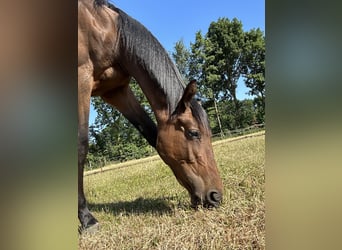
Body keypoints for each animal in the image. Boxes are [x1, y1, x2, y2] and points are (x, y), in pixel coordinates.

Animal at [78, 0, 224, 229]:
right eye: (193, 133)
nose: (216, 196)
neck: (107, 29)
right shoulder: (81, 80)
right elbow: (81, 146)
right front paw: (87, 218)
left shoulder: (115, 91)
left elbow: (151, 133)